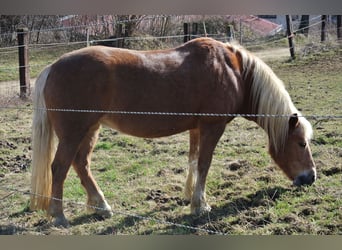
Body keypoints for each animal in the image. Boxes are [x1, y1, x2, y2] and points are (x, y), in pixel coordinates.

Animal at [30, 37, 316, 227]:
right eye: (301, 143)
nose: (310, 178)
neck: (233, 70)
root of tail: (52, 67)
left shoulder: (197, 128)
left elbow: (193, 160)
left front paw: (190, 196)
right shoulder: (213, 127)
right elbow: (204, 163)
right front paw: (201, 205)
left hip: (90, 129)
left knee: (81, 164)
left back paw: (101, 206)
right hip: (73, 132)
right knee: (60, 167)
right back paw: (59, 215)